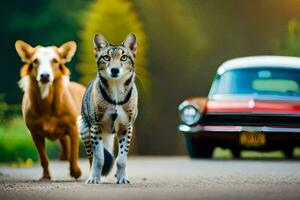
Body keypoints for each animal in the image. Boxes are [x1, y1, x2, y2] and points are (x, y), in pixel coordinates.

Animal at [15, 40, 85, 180]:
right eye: (35, 61)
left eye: (55, 61)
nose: (45, 76)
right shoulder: (34, 132)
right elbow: (43, 158)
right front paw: (46, 176)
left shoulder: (73, 128)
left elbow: (74, 153)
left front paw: (75, 171)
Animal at [78, 33, 138, 184]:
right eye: (106, 57)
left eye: (124, 57)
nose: (114, 70)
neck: (116, 91)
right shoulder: (95, 127)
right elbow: (99, 158)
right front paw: (94, 178)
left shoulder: (126, 127)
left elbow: (121, 159)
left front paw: (122, 178)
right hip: (85, 130)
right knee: (92, 158)